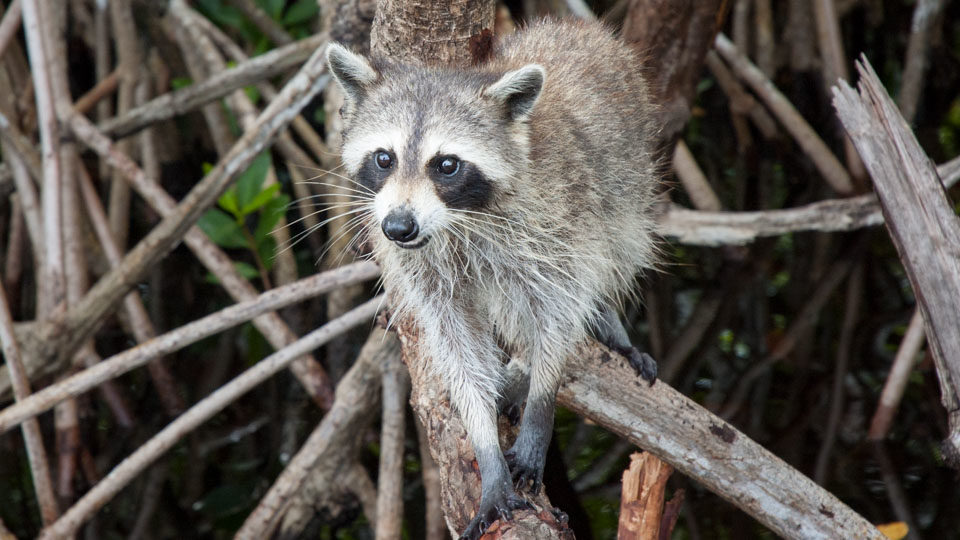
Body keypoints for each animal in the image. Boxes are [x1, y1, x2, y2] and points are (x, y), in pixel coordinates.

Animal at [328, 19, 660, 536]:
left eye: (446, 165)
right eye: (384, 158)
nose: (398, 227)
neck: (459, 220)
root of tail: (581, 28)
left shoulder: (558, 226)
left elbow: (557, 320)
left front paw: (539, 408)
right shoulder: (426, 273)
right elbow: (459, 353)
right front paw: (486, 451)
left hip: (629, 181)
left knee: (615, 256)